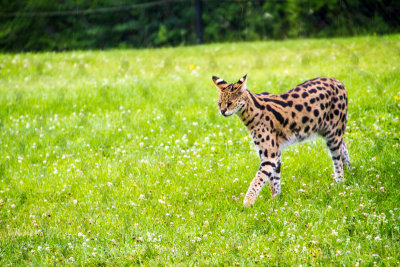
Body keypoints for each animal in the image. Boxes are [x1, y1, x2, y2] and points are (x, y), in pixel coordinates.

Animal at [212, 75, 350, 207]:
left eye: (229, 103)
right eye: (219, 103)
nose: (222, 111)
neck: (250, 113)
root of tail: (337, 81)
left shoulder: (269, 156)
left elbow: (258, 179)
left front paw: (247, 202)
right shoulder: (275, 153)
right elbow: (274, 180)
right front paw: (275, 200)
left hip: (333, 133)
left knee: (337, 160)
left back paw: (340, 183)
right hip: (329, 131)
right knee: (343, 146)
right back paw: (350, 170)